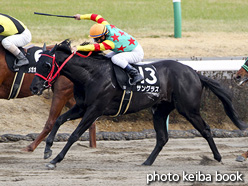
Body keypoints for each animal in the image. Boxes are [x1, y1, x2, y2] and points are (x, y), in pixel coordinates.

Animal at [31, 40, 248, 169]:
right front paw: (47, 149)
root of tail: (193, 72)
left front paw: (55, 159)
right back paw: (147, 161)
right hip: (160, 110)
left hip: (189, 109)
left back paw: (218, 157)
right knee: (162, 138)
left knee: (206, 129)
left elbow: (75, 134)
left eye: (47, 65)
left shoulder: (95, 109)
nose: (34, 87)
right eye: (37, 63)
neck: (91, 74)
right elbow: (59, 120)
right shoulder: (82, 107)